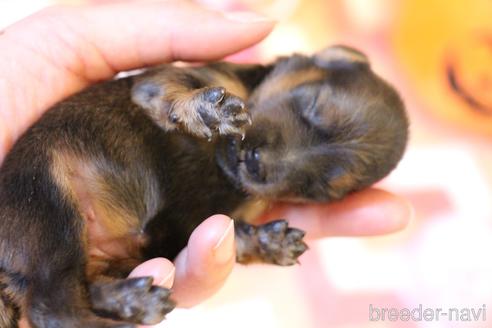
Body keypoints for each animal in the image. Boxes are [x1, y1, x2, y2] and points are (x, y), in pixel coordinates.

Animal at [0, 44, 408, 326]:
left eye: (320, 187)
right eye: (311, 106)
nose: (257, 163)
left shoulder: (214, 219)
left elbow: (234, 232)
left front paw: (268, 241)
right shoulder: (174, 79)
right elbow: (175, 88)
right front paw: (207, 110)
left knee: (74, 294)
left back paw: (133, 300)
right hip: (49, 201)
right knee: (51, 307)